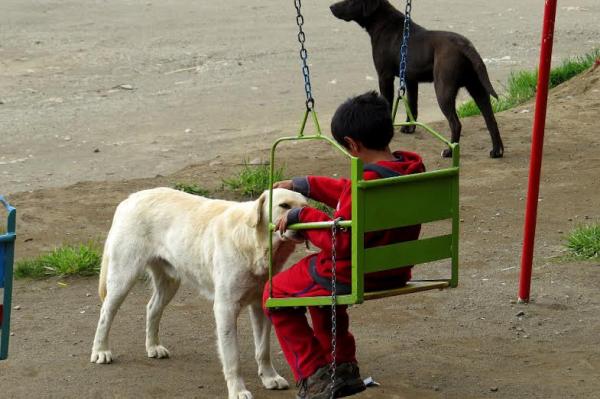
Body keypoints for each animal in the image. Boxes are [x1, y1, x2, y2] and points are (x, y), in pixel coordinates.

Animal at [91, 188, 308, 399]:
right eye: (284, 205)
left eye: (305, 207)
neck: (253, 242)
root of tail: (130, 198)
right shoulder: (225, 309)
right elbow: (233, 359)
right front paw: (238, 391)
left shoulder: (259, 307)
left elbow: (263, 349)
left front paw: (270, 378)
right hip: (123, 278)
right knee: (105, 314)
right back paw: (101, 351)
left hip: (169, 282)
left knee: (152, 308)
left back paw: (153, 347)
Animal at [330, 0, 504, 159]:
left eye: (350, 0)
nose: (331, 7)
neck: (383, 24)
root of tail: (465, 45)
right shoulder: (410, 79)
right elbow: (412, 105)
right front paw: (409, 127)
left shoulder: (384, 76)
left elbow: (388, 102)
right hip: (477, 87)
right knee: (491, 120)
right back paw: (497, 151)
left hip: (443, 89)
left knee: (456, 124)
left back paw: (449, 151)